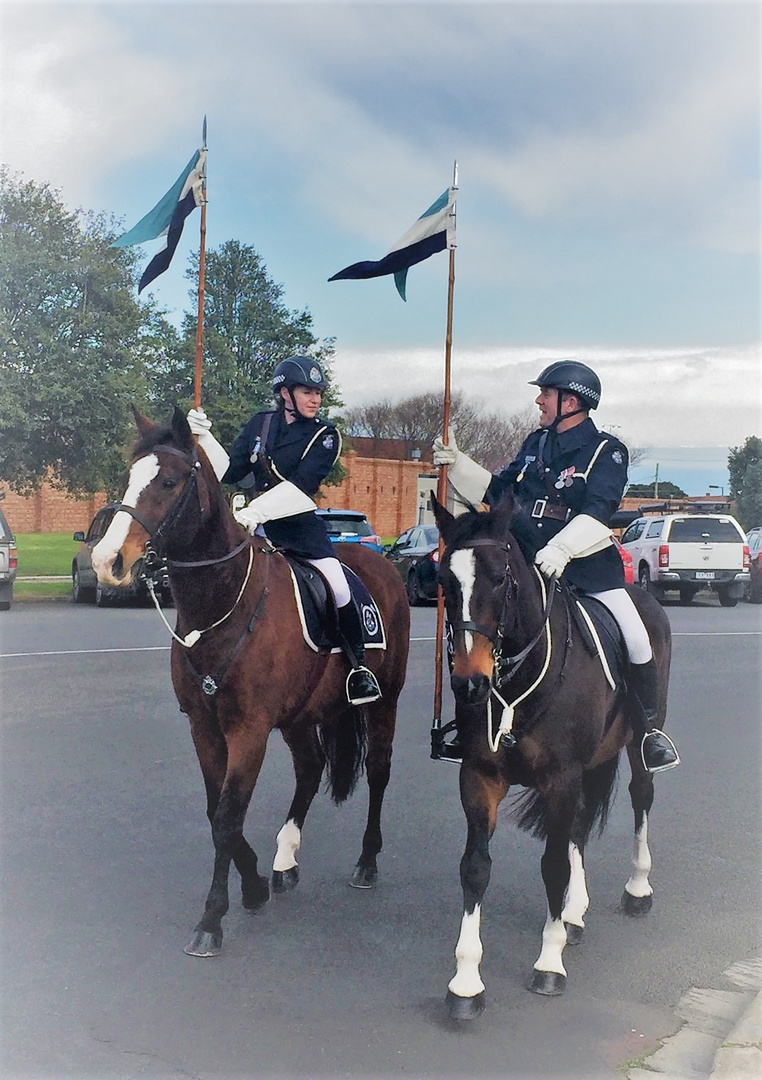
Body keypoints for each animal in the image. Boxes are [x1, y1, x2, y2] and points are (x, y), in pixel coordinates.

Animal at [91, 408, 410, 959]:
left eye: (169, 481)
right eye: (129, 476)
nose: (107, 561)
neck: (222, 606)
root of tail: (382, 564)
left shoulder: (249, 730)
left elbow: (226, 817)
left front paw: (212, 918)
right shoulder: (204, 727)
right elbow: (217, 810)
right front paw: (255, 884)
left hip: (383, 701)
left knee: (378, 772)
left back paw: (367, 861)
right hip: (301, 716)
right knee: (310, 768)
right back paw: (285, 858)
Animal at [429, 496, 669, 1019]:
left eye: (500, 576)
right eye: (443, 579)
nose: (469, 683)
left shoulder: (562, 777)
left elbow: (553, 866)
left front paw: (549, 962)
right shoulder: (480, 778)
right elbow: (475, 868)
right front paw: (466, 983)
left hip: (637, 743)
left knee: (642, 795)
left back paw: (638, 888)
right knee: (580, 824)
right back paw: (574, 914)